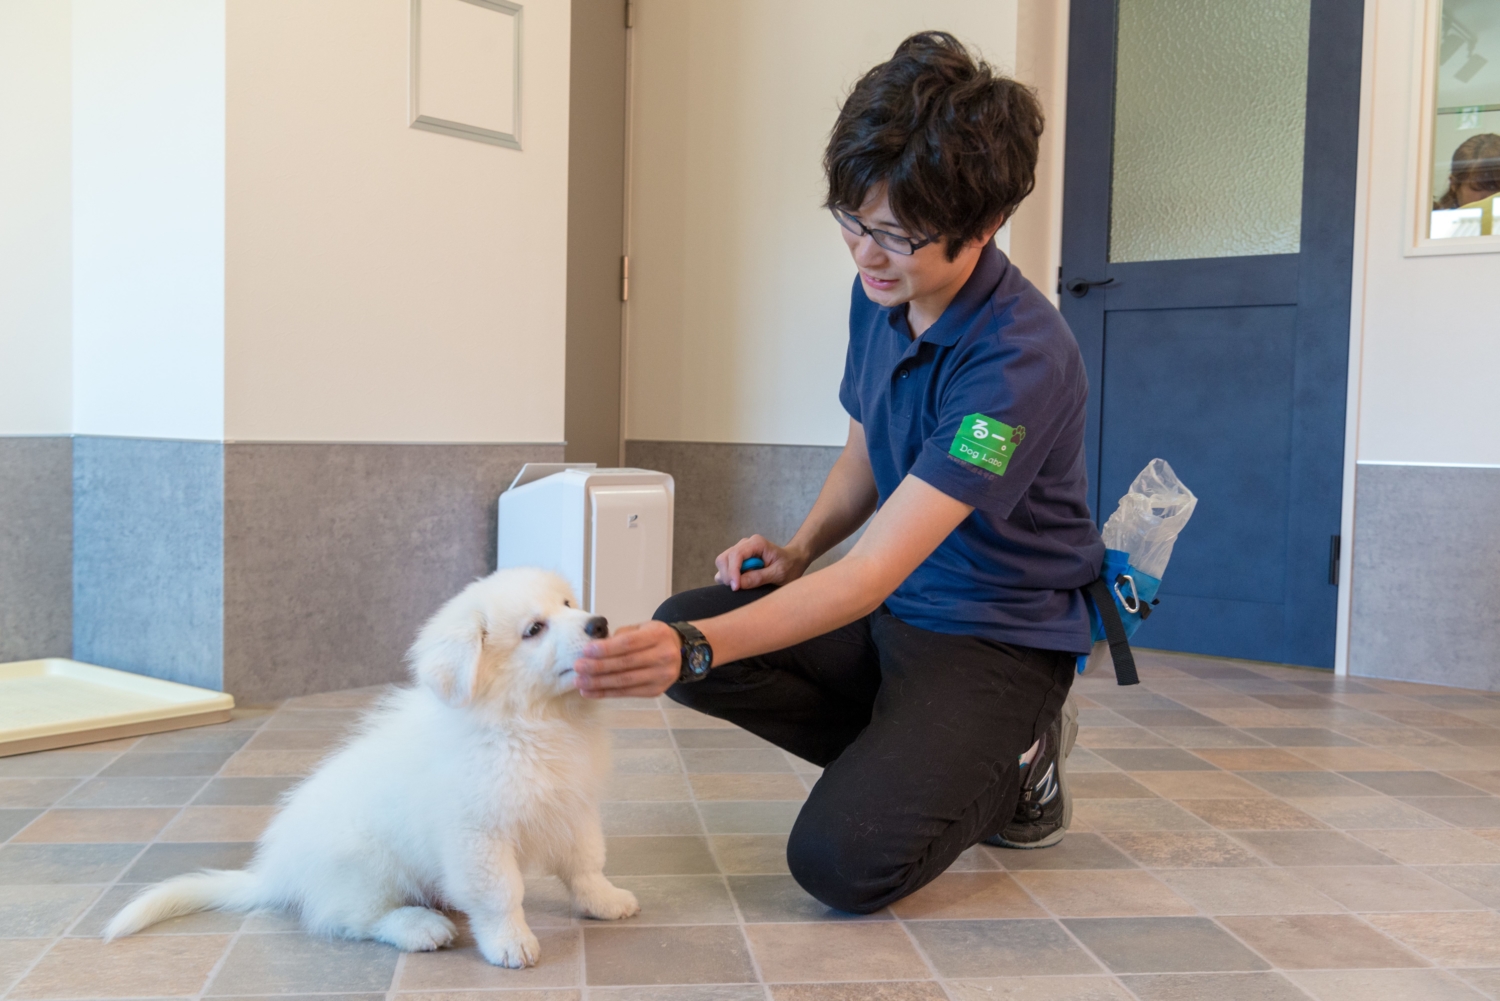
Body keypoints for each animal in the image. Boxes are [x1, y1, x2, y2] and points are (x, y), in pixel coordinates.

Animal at [102, 567, 642, 966]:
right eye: (534, 629)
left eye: (568, 604)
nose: (599, 624)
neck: (527, 722)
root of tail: (278, 874)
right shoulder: (476, 835)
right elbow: (499, 894)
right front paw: (510, 943)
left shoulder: (572, 807)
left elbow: (586, 863)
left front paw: (606, 901)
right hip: (364, 863)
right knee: (352, 918)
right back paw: (420, 926)